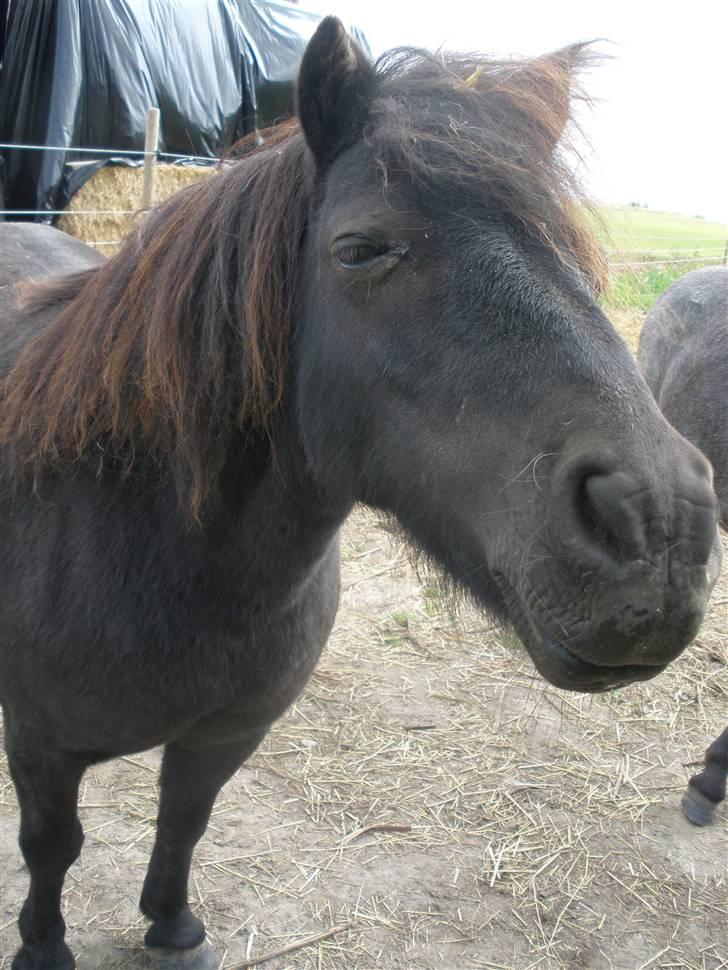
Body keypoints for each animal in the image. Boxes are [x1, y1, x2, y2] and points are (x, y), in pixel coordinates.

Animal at [0, 17, 724, 968]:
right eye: (360, 249)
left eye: (575, 252)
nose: (660, 529)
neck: (143, 542)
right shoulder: (41, 749)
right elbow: (52, 848)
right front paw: (44, 948)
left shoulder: (224, 737)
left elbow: (184, 821)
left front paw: (172, 924)